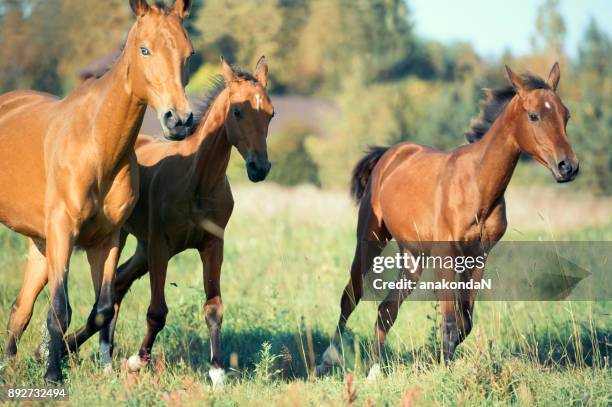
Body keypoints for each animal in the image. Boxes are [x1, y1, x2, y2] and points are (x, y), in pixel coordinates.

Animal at [1, 0, 194, 382]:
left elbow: (103, 308)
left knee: (20, 309)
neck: (95, 143)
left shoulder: (107, 239)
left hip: (40, 244)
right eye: (144, 49)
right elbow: (60, 309)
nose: (178, 120)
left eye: (188, 53)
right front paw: (53, 375)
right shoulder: (63, 231)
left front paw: (90, 365)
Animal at [318, 63, 580, 380]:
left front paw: (441, 363)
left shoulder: (477, 257)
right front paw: (445, 374)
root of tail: (389, 154)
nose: (568, 167)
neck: (477, 185)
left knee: (386, 310)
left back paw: (374, 372)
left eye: (566, 115)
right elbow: (449, 323)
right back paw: (328, 358)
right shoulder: (446, 255)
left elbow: (464, 323)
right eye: (534, 115)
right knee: (351, 295)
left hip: (413, 257)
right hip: (370, 240)